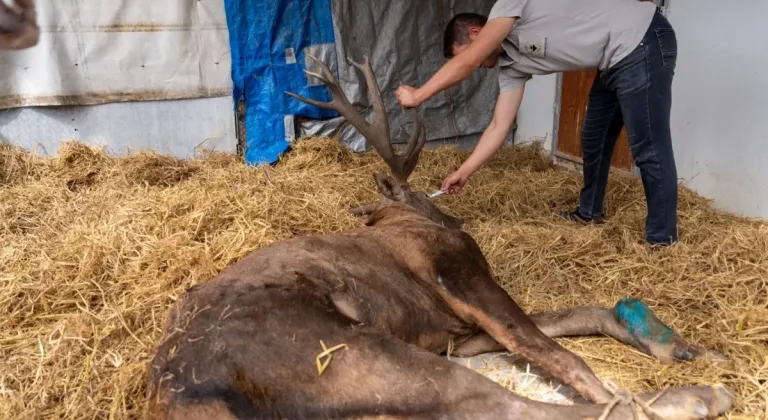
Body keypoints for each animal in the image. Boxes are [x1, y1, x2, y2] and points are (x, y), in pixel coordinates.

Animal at [142, 56, 732, 420]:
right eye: (426, 201)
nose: (450, 214)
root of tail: (179, 397)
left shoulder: (457, 330)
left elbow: (570, 318)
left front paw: (673, 343)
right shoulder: (460, 274)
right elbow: (555, 351)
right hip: (354, 355)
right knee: (507, 406)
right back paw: (697, 398)